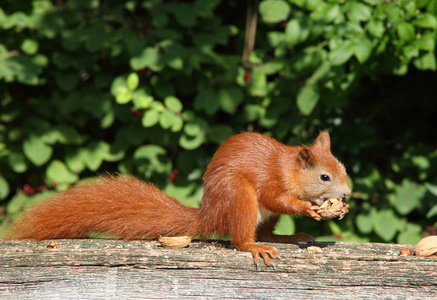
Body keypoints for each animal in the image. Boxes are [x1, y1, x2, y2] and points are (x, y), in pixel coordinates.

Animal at [8, 131, 350, 264]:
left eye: (344, 168)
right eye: (325, 177)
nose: (347, 193)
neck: (288, 169)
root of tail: (210, 213)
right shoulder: (269, 180)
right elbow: (277, 198)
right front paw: (309, 208)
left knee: (265, 230)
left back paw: (286, 238)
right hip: (238, 196)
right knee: (242, 238)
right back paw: (255, 246)